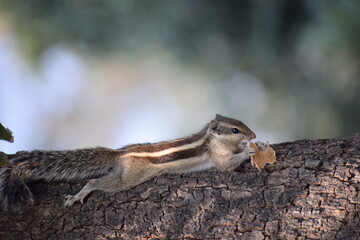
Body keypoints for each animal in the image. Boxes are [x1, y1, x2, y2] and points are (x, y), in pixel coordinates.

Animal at [0, 113, 256, 211]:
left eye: (242, 123)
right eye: (234, 130)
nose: (252, 135)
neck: (211, 138)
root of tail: (118, 154)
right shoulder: (216, 154)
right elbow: (226, 165)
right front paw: (249, 151)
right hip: (127, 179)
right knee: (96, 182)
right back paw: (78, 195)